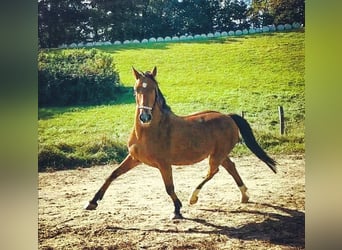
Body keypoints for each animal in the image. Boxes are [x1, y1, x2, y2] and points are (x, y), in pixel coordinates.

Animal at [85, 66, 276, 219]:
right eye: (136, 89)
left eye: (153, 88)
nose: (145, 117)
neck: (148, 131)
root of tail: (228, 117)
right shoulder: (134, 158)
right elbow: (112, 174)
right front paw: (92, 202)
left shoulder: (164, 164)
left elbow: (169, 187)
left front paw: (177, 210)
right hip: (219, 154)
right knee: (230, 167)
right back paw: (244, 196)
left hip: (217, 155)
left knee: (213, 171)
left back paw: (193, 197)